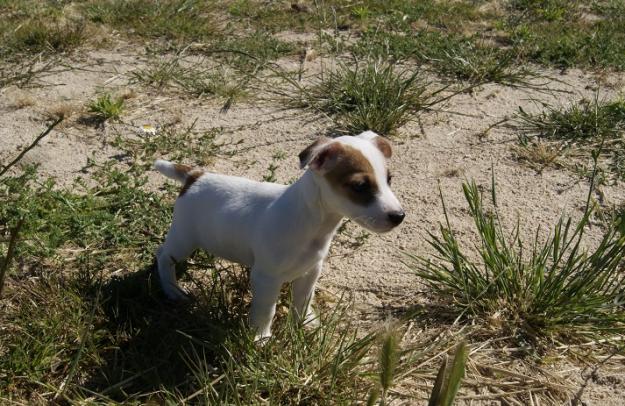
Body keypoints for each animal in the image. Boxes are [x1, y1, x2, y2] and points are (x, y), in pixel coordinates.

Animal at [154, 130, 402, 340]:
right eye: (359, 186)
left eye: (389, 179)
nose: (399, 216)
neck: (311, 221)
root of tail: (195, 176)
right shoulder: (266, 278)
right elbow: (266, 311)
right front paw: (261, 339)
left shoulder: (310, 271)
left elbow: (303, 301)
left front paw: (304, 324)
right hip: (183, 239)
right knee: (163, 255)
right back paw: (172, 290)